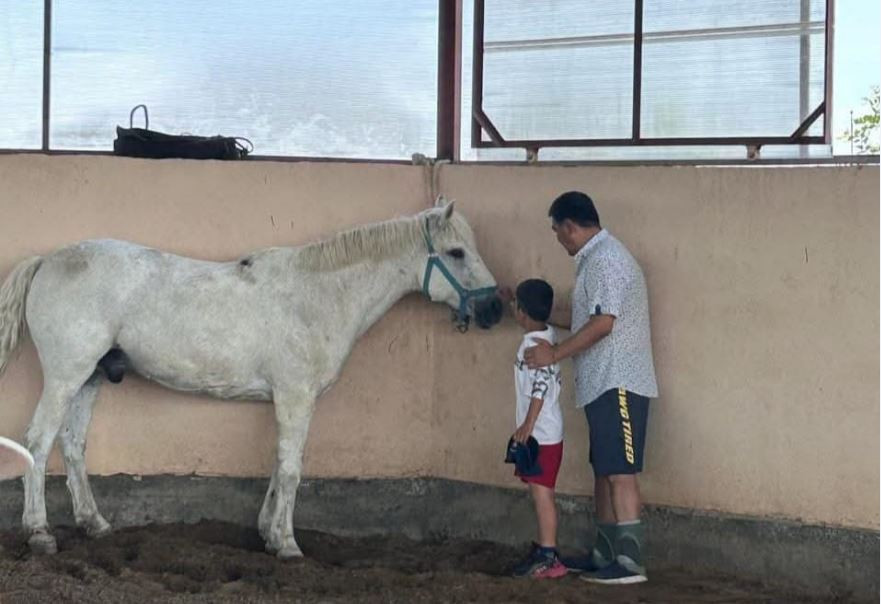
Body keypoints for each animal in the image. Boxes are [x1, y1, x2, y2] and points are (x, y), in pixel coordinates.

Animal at [0, 199, 502, 558]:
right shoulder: (297, 396)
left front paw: (268, 534)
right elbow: (293, 467)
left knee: (73, 445)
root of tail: (47, 261)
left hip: (90, 378)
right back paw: (40, 533)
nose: (496, 308)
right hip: (65, 376)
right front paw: (288, 544)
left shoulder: (286, 399)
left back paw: (95, 524)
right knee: (39, 442)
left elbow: (279, 464)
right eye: (457, 252)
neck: (318, 296)